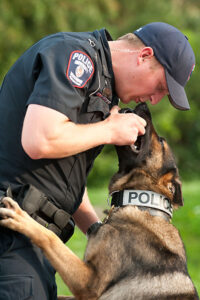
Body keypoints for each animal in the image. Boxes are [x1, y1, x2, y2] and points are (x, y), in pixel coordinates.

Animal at [0, 103, 198, 300]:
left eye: (162, 141)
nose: (143, 104)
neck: (142, 204)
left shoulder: (89, 283)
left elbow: (49, 237)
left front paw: (22, 217)